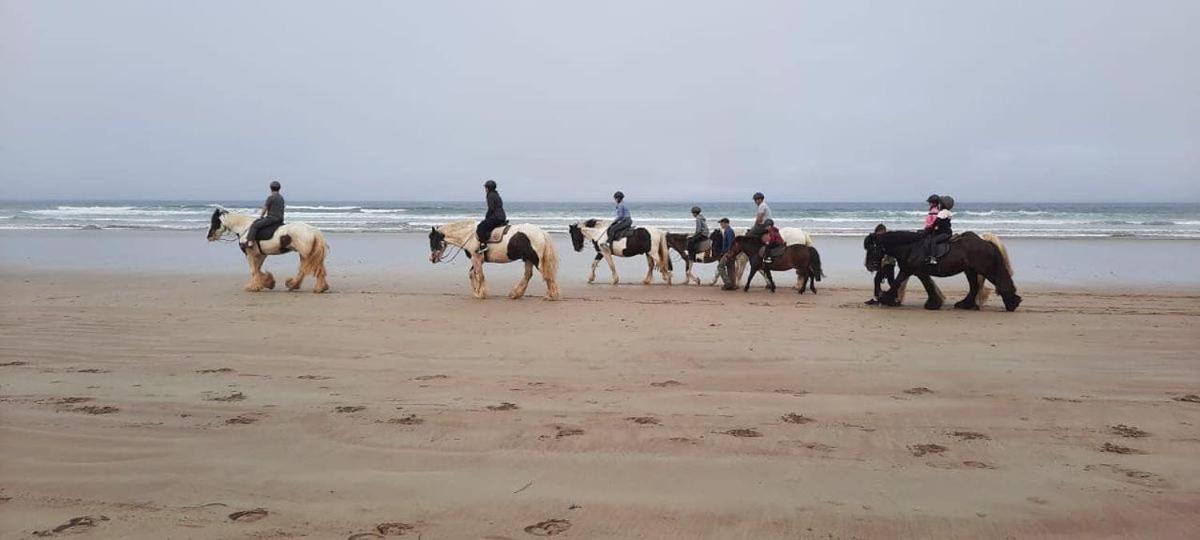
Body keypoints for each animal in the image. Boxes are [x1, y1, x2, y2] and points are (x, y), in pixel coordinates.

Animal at [427, 222, 561, 301]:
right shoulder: (477, 260)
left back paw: (550, 295)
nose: (431, 258)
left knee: (547, 275)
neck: (468, 235)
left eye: (432, 239)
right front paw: (477, 291)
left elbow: (479, 275)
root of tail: (541, 232)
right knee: (528, 275)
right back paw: (515, 294)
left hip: (535, 259)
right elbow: (472, 274)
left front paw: (480, 293)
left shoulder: (476, 258)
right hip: (528, 259)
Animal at [864, 229, 1022, 312]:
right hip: (970, 270)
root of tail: (986, 242)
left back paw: (1011, 302)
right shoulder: (919, 272)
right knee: (974, 286)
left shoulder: (908, 270)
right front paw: (934, 303)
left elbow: (896, 283)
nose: (869, 266)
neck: (911, 247)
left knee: (998, 281)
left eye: (872, 248)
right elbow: (928, 285)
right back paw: (966, 304)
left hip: (985, 269)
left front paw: (884, 299)